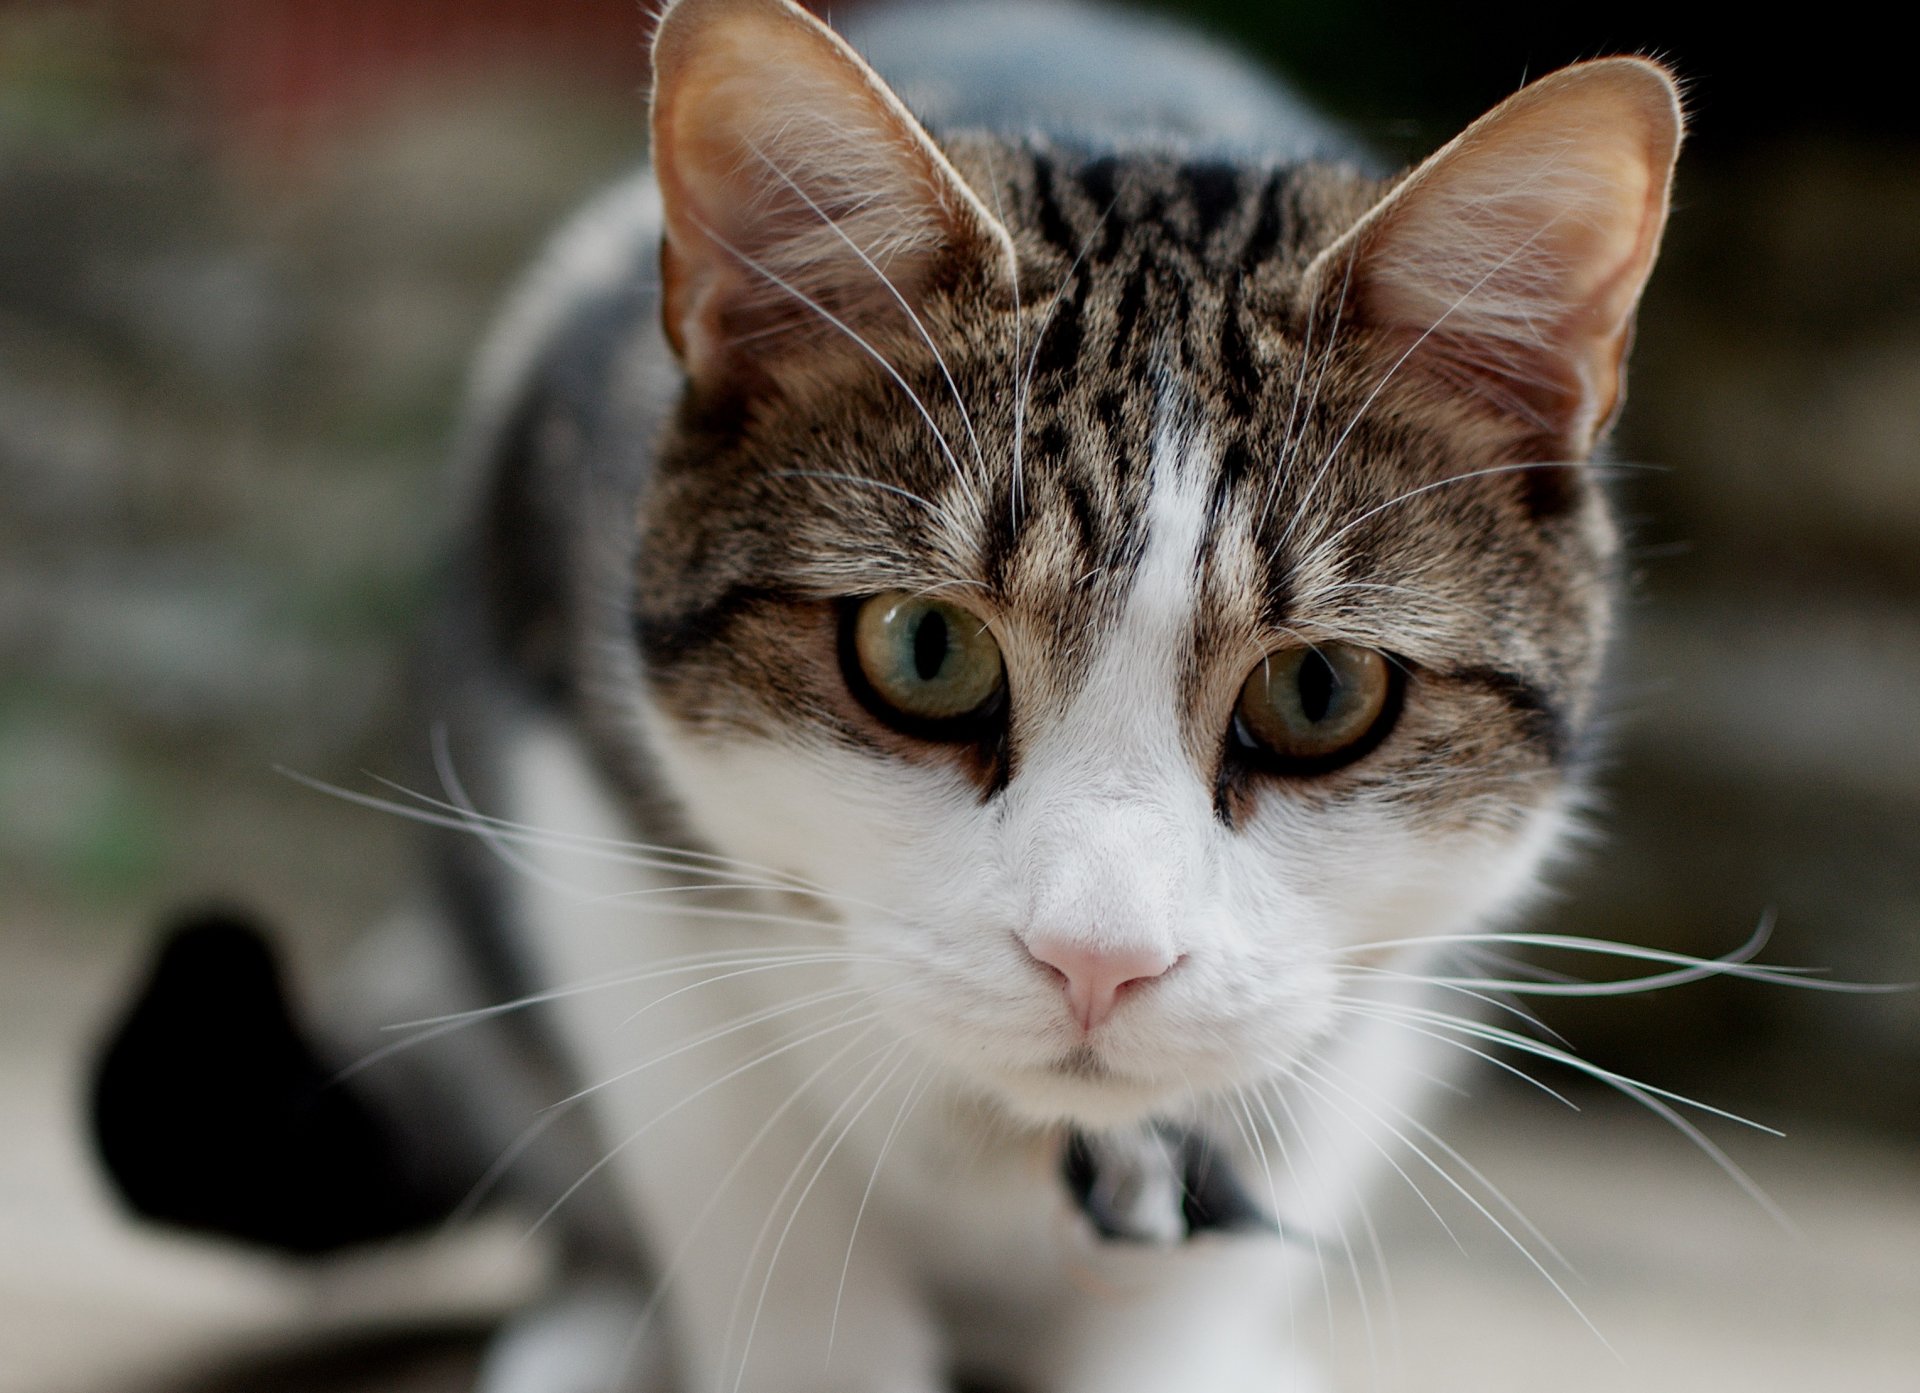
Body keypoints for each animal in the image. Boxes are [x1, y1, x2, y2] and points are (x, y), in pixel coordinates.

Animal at [90, 0, 1689, 1389]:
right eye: (926, 653)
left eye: (1318, 688)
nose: (1098, 958)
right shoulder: (563, 738)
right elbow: (740, 1165)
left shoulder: (1375, 1002)